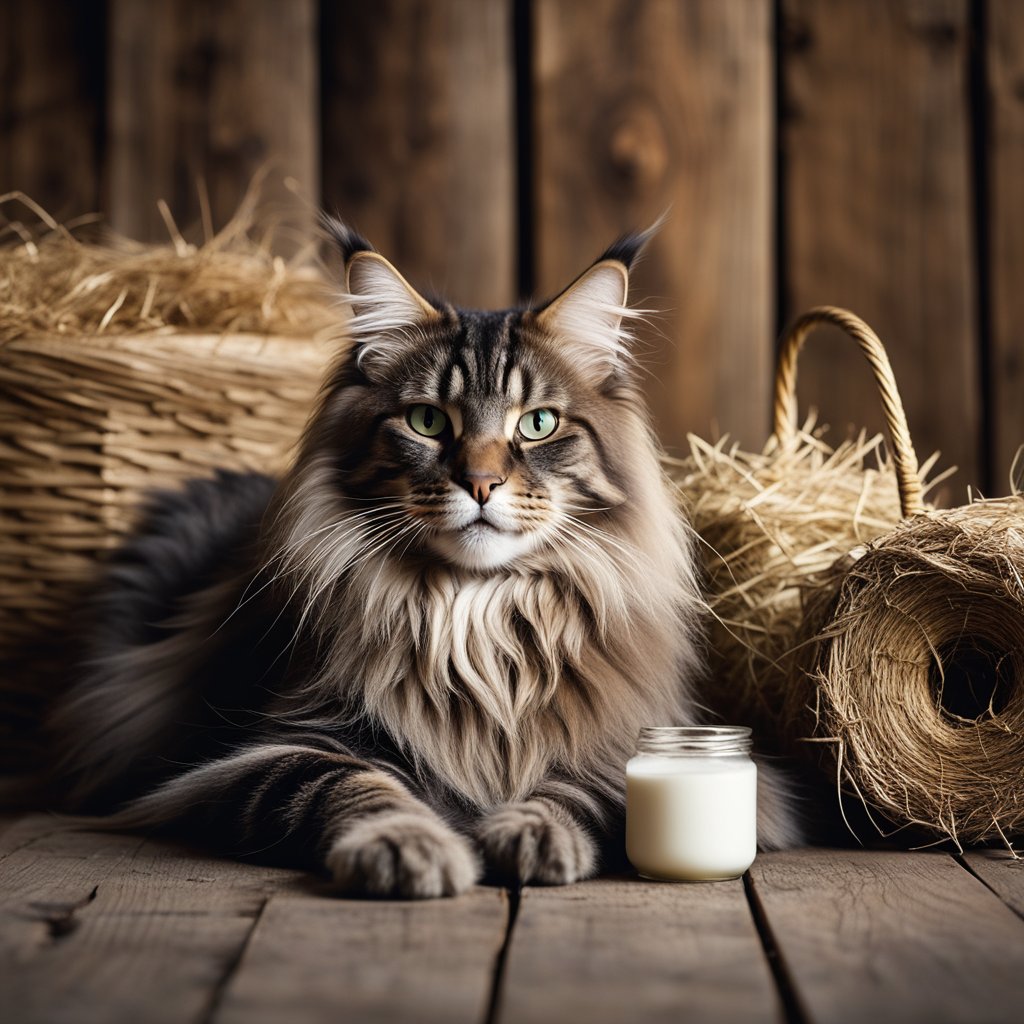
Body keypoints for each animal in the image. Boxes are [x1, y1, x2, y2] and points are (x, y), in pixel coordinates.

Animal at [48, 220, 798, 892]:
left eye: (538, 424)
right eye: (428, 421)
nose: (482, 484)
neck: (475, 614)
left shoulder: (625, 741)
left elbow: (582, 791)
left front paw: (532, 835)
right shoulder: (269, 748)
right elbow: (354, 787)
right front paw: (411, 850)